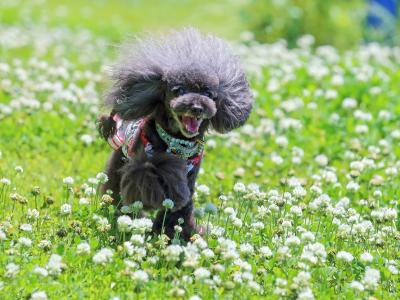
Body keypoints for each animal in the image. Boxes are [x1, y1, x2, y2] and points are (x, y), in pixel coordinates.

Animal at [98, 27, 252, 239]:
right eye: (178, 90)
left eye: (210, 94)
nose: (197, 107)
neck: (178, 142)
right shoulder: (143, 161)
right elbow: (150, 173)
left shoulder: (190, 177)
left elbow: (181, 210)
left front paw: (180, 233)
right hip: (119, 159)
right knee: (114, 186)